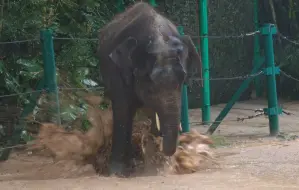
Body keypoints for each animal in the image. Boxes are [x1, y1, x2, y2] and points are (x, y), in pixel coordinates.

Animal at [96, 1, 202, 177]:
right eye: (151, 89)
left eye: (182, 83)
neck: (157, 36)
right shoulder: (118, 72)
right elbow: (122, 111)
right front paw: (115, 172)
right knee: (127, 115)